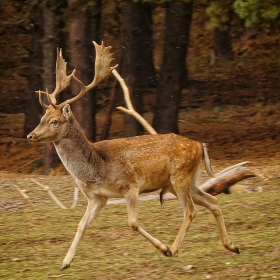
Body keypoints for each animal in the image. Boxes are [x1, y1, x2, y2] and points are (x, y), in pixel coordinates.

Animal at [27, 41, 240, 270]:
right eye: (42, 118)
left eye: (54, 121)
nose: (31, 135)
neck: (96, 168)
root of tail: (201, 146)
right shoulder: (97, 197)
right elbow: (81, 224)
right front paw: (65, 262)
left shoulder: (130, 185)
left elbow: (132, 223)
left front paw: (163, 248)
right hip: (183, 182)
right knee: (213, 201)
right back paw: (232, 246)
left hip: (180, 177)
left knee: (191, 210)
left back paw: (173, 248)